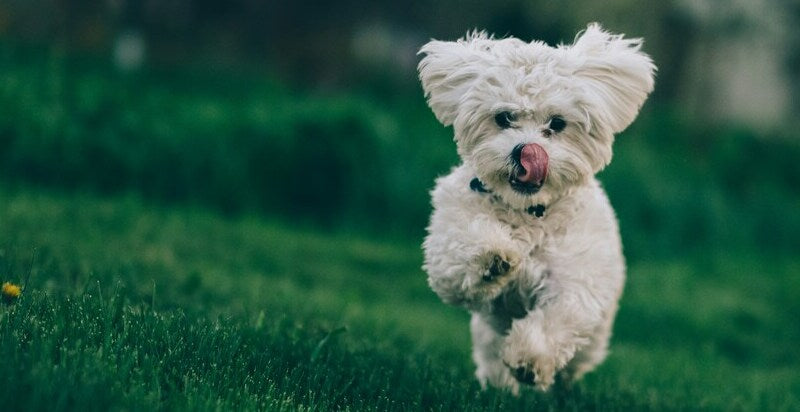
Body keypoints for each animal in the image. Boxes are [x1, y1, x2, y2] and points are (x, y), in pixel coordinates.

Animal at [418, 25, 656, 392]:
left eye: (557, 124)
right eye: (503, 118)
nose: (526, 151)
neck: (528, 212)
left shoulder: (575, 280)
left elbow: (558, 318)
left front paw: (529, 359)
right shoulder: (447, 245)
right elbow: (460, 252)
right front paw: (494, 257)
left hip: (592, 342)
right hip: (487, 336)